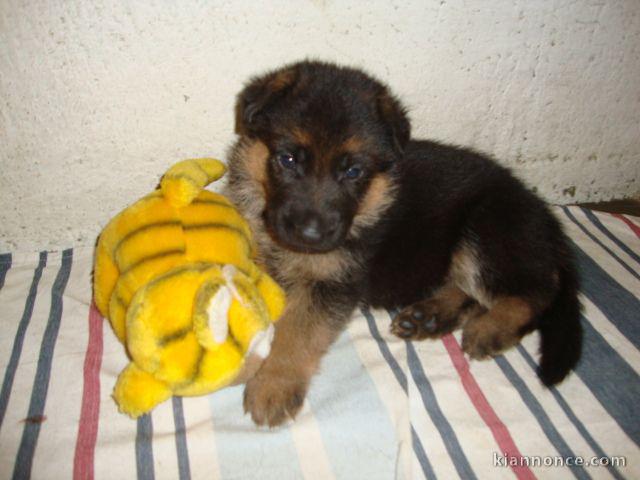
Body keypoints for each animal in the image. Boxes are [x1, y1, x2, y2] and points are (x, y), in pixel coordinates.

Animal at [224, 61, 580, 428]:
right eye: (288, 159)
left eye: (353, 172)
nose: (311, 235)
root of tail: (548, 223)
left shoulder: (333, 283)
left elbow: (298, 330)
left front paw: (274, 384)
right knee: (471, 290)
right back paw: (431, 316)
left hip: (486, 231)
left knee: (538, 293)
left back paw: (491, 328)